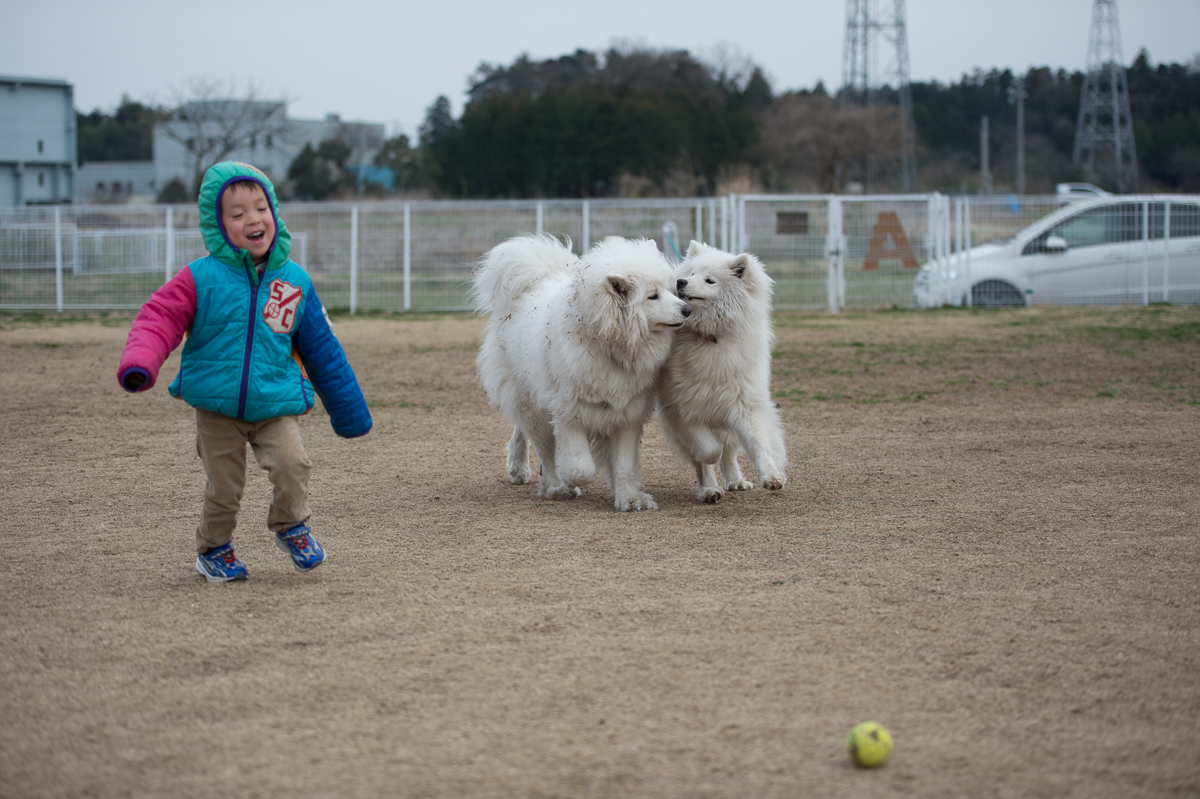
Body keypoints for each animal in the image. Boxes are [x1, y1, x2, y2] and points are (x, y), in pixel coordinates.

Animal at [472, 235, 691, 511]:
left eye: (671, 289)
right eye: (652, 296)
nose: (687, 310)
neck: (605, 344)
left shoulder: (627, 414)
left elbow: (623, 464)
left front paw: (630, 499)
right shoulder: (569, 413)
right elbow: (580, 467)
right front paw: (568, 479)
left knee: (522, 431)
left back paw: (519, 469)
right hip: (529, 399)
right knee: (541, 444)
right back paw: (553, 485)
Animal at [657, 236, 787, 501]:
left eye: (710, 280)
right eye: (691, 273)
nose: (681, 282)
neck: (710, 336)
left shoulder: (744, 404)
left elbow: (758, 444)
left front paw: (771, 476)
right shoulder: (681, 409)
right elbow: (708, 450)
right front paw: (709, 474)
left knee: (729, 451)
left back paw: (735, 481)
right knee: (708, 456)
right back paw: (710, 490)